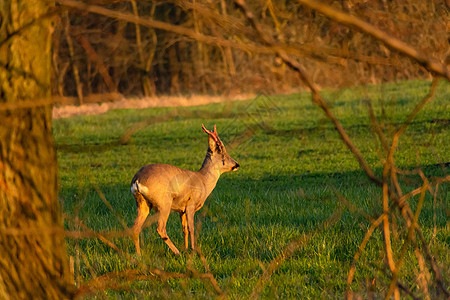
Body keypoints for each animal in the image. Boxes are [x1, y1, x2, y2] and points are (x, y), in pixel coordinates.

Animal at [129, 123, 239, 254]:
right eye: (222, 154)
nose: (237, 164)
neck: (203, 181)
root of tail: (137, 181)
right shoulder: (191, 204)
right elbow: (192, 228)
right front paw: (193, 250)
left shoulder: (181, 209)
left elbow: (184, 229)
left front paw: (186, 249)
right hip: (164, 203)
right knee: (160, 228)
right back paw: (177, 253)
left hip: (142, 203)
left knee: (135, 228)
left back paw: (139, 255)